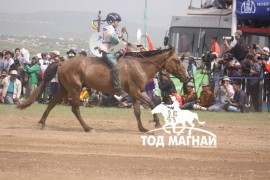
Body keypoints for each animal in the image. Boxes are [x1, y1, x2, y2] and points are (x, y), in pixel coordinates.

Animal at [17, 47, 189, 132]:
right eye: (177, 60)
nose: (187, 77)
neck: (139, 66)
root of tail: (63, 62)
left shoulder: (134, 94)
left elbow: (137, 111)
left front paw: (142, 128)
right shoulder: (136, 92)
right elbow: (153, 104)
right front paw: (157, 123)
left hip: (63, 89)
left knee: (51, 104)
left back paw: (42, 123)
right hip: (74, 88)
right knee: (75, 109)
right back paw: (87, 128)